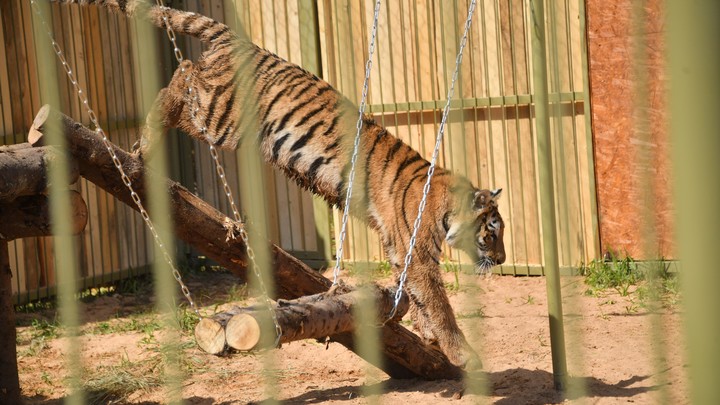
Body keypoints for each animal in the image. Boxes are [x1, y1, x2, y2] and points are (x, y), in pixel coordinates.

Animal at [52, 0, 506, 368]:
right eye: (492, 232)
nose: (501, 260)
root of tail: (243, 42)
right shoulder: (418, 252)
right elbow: (439, 303)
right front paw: (463, 353)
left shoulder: (398, 247)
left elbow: (415, 297)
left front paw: (430, 338)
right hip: (220, 116)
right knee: (183, 74)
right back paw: (144, 141)